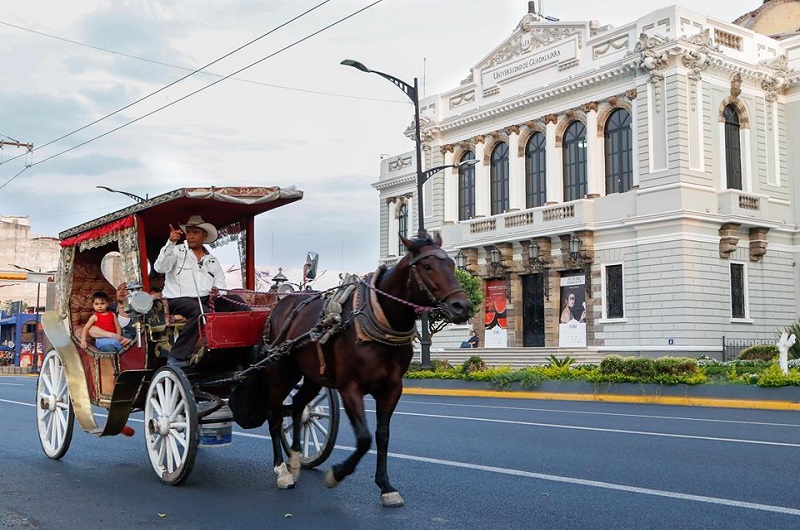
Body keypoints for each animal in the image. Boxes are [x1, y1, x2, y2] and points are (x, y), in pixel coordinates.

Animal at [260, 233, 472, 506]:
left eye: (453, 265)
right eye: (427, 266)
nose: (462, 307)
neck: (379, 318)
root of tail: (281, 303)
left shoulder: (392, 388)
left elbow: (382, 435)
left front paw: (385, 485)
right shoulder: (350, 388)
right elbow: (364, 439)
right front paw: (337, 473)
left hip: (312, 375)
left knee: (297, 406)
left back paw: (296, 458)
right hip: (278, 370)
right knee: (275, 416)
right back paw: (282, 470)